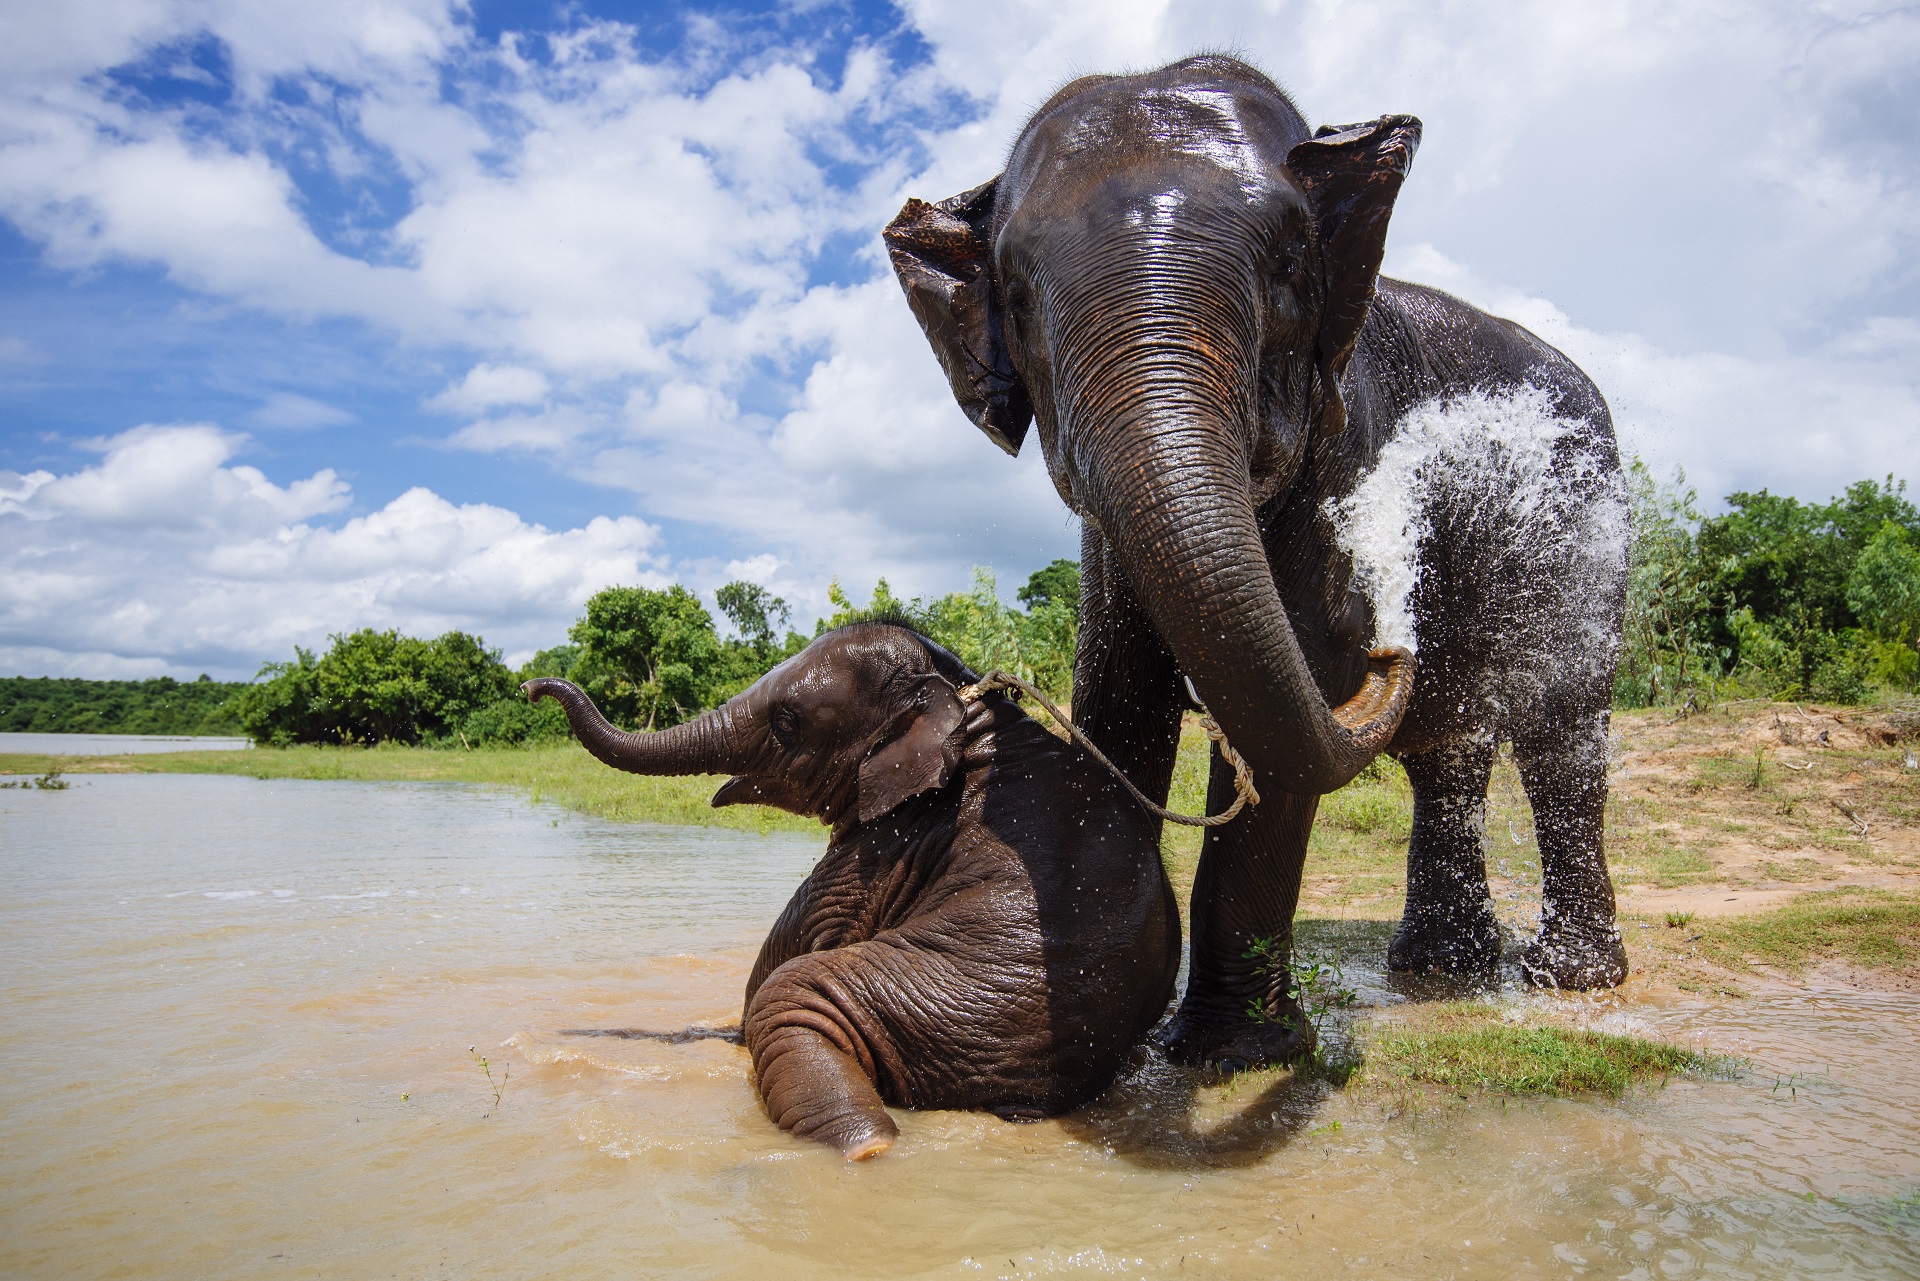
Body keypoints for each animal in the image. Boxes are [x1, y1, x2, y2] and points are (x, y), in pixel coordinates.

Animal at [529, 622, 1182, 1160]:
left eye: (787, 722)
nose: (532, 687)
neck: (963, 699)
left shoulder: (875, 854)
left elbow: (777, 966)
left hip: (936, 1009)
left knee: (789, 998)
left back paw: (866, 1147)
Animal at [890, 55, 1628, 1067]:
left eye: (1287, 265)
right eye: (1015, 297)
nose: (1391, 638)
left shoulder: (1348, 438)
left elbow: (1299, 691)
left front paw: (1237, 1055)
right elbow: (1119, 692)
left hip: (1584, 527)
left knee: (1562, 731)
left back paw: (1570, 980)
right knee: (1449, 754)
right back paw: (1442, 966)